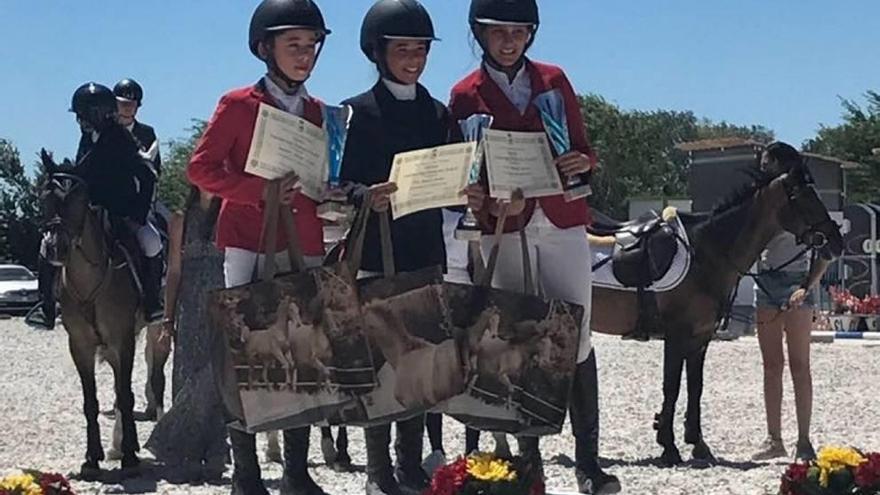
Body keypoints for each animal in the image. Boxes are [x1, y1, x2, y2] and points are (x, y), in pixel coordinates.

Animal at [41, 158, 144, 476]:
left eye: (78, 198)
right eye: (44, 198)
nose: (54, 247)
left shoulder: (123, 339)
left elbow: (125, 394)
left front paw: (130, 458)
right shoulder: (80, 345)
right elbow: (90, 401)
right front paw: (92, 458)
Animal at [588, 165, 844, 466]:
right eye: (804, 198)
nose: (836, 242)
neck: (705, 253)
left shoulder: (700, 339)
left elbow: (695, 387)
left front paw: (698, 445)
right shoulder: (676, 337)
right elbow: (672, 387)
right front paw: (669, 447)